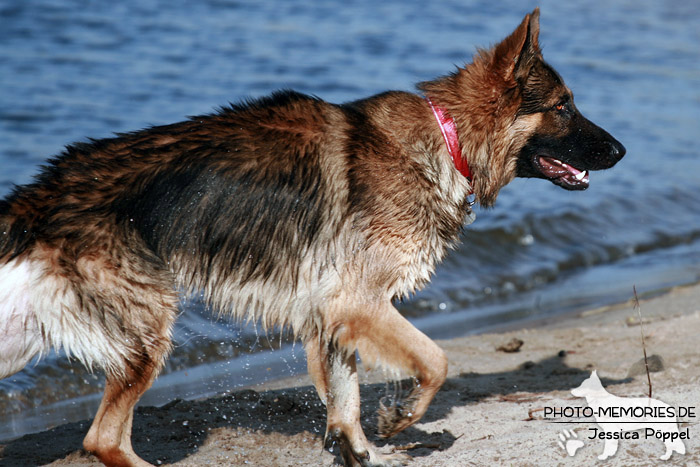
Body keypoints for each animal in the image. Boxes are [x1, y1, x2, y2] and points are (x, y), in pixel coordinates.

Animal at [0, 8, 624, 467]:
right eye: (564, 106)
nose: (622, 150)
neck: (446, 140)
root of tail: (40, 195)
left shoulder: (333, 314)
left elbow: (345, 400)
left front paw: (359, 448)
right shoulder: (358, 303)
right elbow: (436, 361)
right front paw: (401, 417)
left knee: (102, 437)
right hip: (149, 334)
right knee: (102, 440)